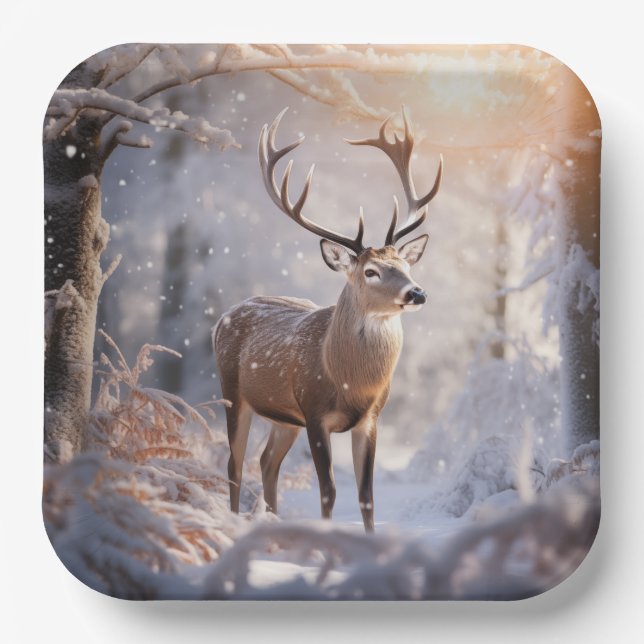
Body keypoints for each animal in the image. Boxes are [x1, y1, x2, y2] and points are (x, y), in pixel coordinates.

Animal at [212, 106, 442, 532]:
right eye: (371, 271)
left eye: (404, 264)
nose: (416, 293)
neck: (350, 382)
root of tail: (224, 316)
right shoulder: (315, 411)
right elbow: (328, 492)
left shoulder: (370, 418)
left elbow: (367, 496)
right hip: (233, 392)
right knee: (235, 464)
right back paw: (234, 524)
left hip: (285, 418)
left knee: (266, 462)